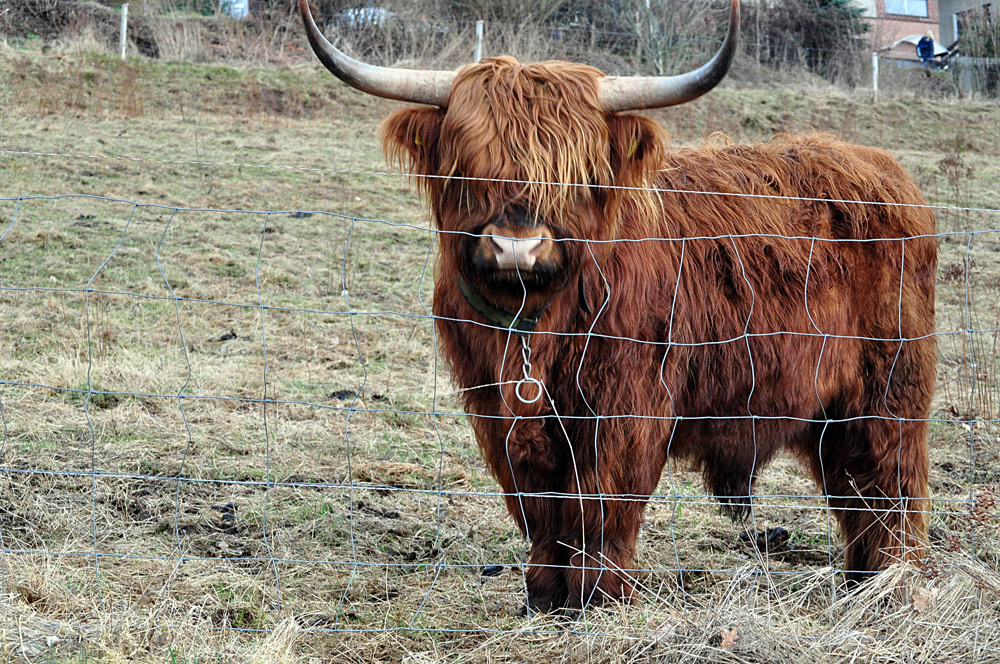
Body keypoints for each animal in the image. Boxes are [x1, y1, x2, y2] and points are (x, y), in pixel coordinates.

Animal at [298, 0, 936, 612]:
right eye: (469, 165)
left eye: (578, 174)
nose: (516, 245)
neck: (535, 328)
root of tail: (878, 167)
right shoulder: (494, 411)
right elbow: (538, 506)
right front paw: (543, 595)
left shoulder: (625, 406)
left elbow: (600, 502)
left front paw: (597, 596)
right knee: (855, 492)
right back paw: (858, 584)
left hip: (888, 389)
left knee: (890, 483)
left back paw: (893, 585)